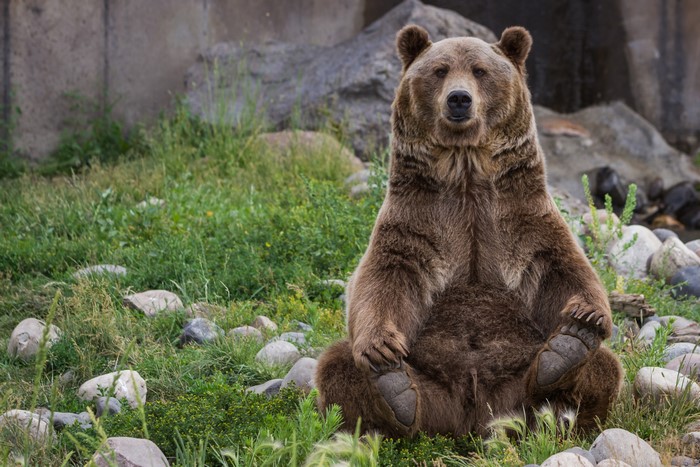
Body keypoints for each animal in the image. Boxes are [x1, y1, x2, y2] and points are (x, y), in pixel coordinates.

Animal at [315, 25, 623, 438]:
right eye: (440, 70)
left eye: (480, 70)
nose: (459, 99)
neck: (466, 171)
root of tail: (473, 417)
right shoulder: (417, 220)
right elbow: (384, 277)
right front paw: (380, 348)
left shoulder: (521, 217)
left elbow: (562, 267)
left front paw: (586, 317)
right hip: (432, 385)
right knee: (336, 365)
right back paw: (395, 393)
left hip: (516, 382)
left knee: (604, 367)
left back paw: (566, 354)